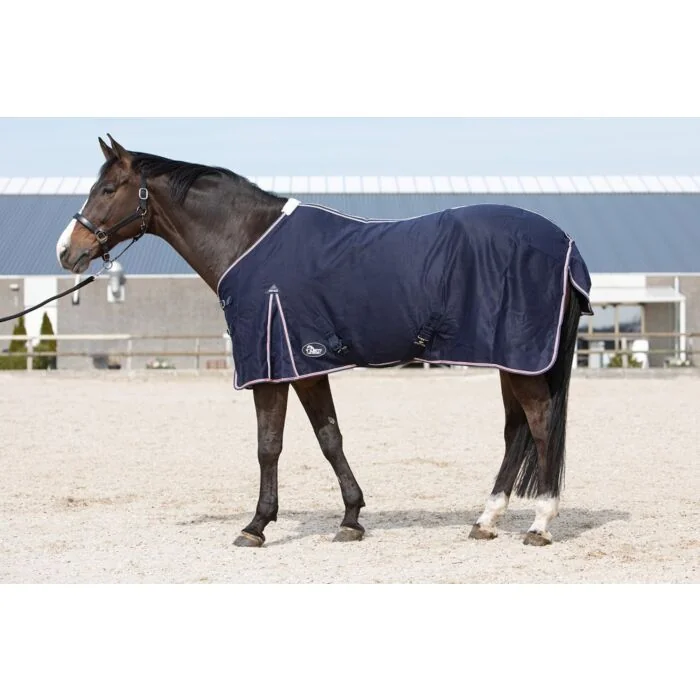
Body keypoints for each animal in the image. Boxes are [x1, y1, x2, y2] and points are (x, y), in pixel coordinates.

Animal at [56, 134, 592, 548]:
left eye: (107, 188)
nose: (67, 251)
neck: (247, 240)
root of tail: (565, 243)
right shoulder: (306, 365)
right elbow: (329, 438)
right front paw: (351, 519)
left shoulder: (270, 367)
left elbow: (268, 446)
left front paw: (256, 525)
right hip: (511, 360)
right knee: (515, 430)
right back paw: (486, 520)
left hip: (521, 358)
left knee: (539, 425)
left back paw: (540, 523)